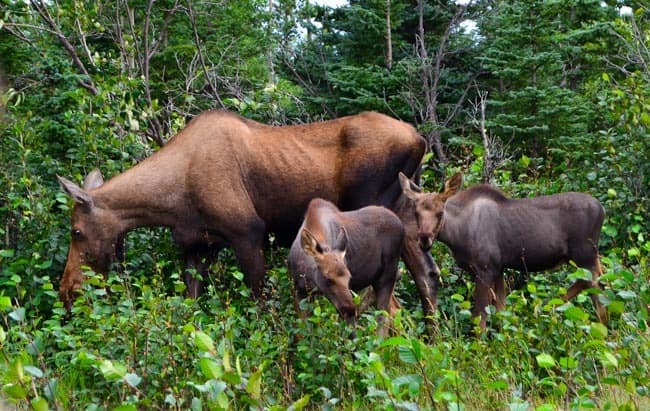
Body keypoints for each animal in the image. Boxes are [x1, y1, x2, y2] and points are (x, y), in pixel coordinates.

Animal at [58, 109, 438, 312]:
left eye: (76, 231)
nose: (67, 291)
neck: (169, 200)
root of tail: (419, 140)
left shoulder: (248, 233)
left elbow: (261, 307)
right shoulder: (198, 245)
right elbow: (191, 310)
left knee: (390, 304)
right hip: (404, 217)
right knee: (426, 280)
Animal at [288, 197, 402, 334]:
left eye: (349, 277)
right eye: (328, 278)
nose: (351, 309)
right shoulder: (299, 291)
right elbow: (302, 331)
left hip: (388, 275)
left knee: (384, 316)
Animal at [400, 172, 608, 330]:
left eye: (440, 212)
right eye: (416, 213)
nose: (424, 239)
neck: (457, 234)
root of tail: (602, 209)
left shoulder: (485, 269)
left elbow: (479, 319)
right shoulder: (498, 268)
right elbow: (501, 311)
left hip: (585, 255)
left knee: (598, 295)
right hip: (586, 257)